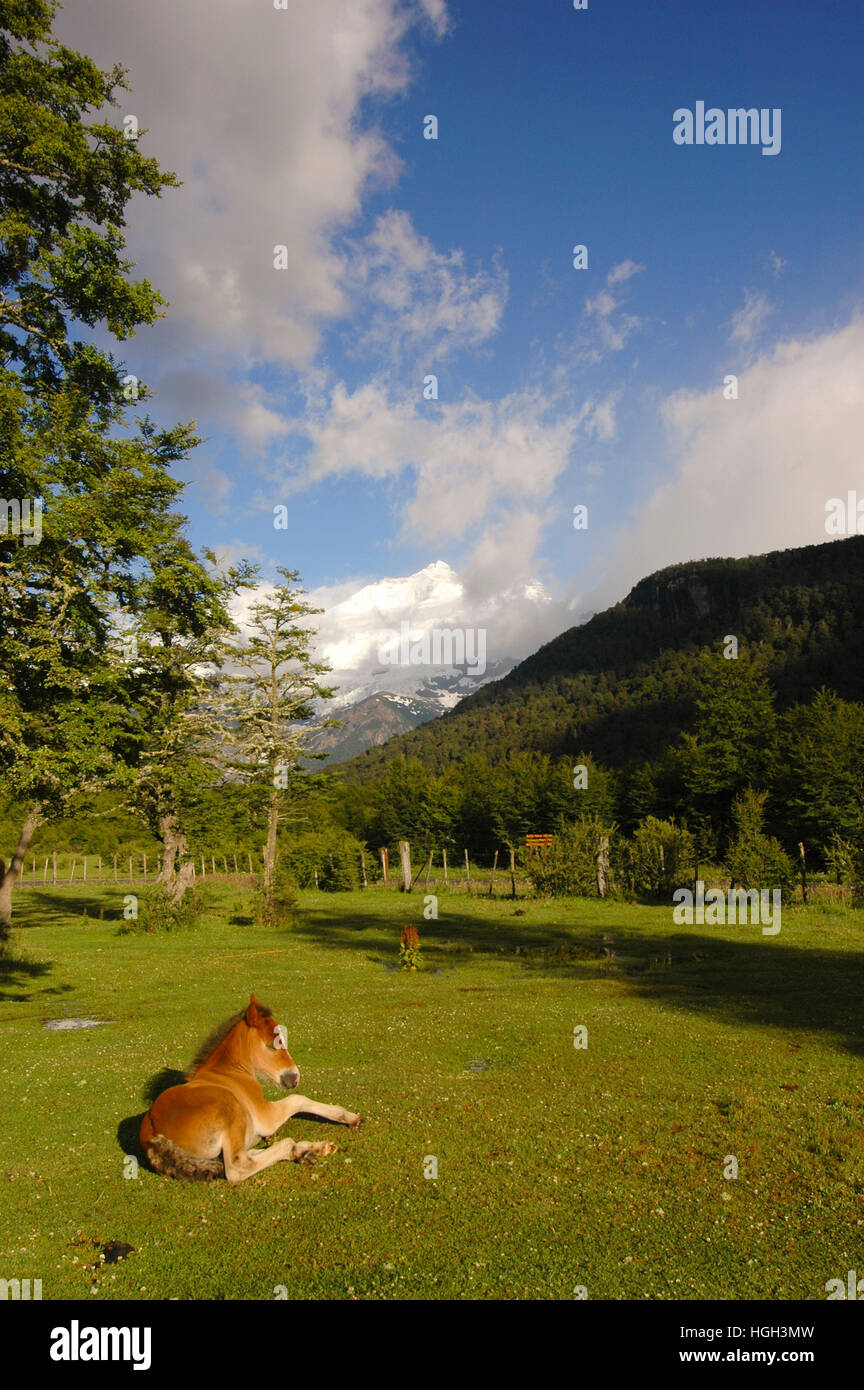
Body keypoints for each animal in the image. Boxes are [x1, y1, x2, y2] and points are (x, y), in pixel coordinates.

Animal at [139, 995, 361, 1178]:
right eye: (274, 1045)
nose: (294, 1077)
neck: (229, 1071)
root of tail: (152, 1134)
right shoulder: (265, 1116)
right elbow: (298, 1100)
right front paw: (350, 1117)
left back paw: (311, 1150)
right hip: (230, 1111)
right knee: (239, 1167)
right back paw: (298, 1149)